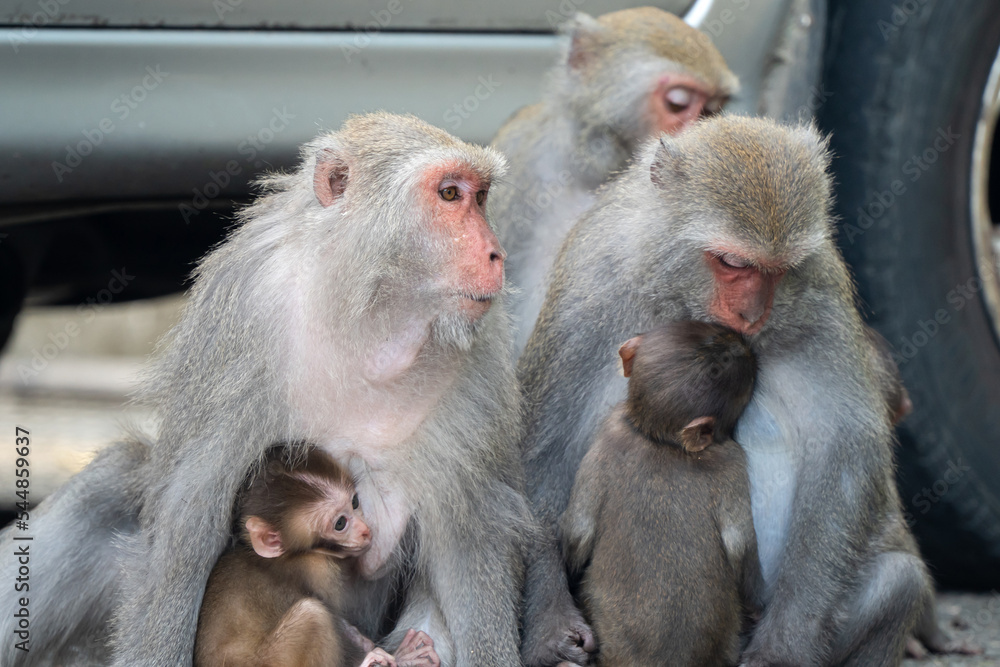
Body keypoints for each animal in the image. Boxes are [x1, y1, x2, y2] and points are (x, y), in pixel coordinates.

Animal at [197, 446, 440, 667]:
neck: (284, 557)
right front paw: (396, 657)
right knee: (314, 615)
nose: (365, 531)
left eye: (355, 502)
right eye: (340, 523)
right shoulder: (318, 569)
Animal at [564, 320, 764, 664]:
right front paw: (757, 608)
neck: (659, 438)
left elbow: (579, 528)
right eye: (723, 364)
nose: (742, 345)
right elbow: (740, 543)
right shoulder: (731, 460)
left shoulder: (610, 432)